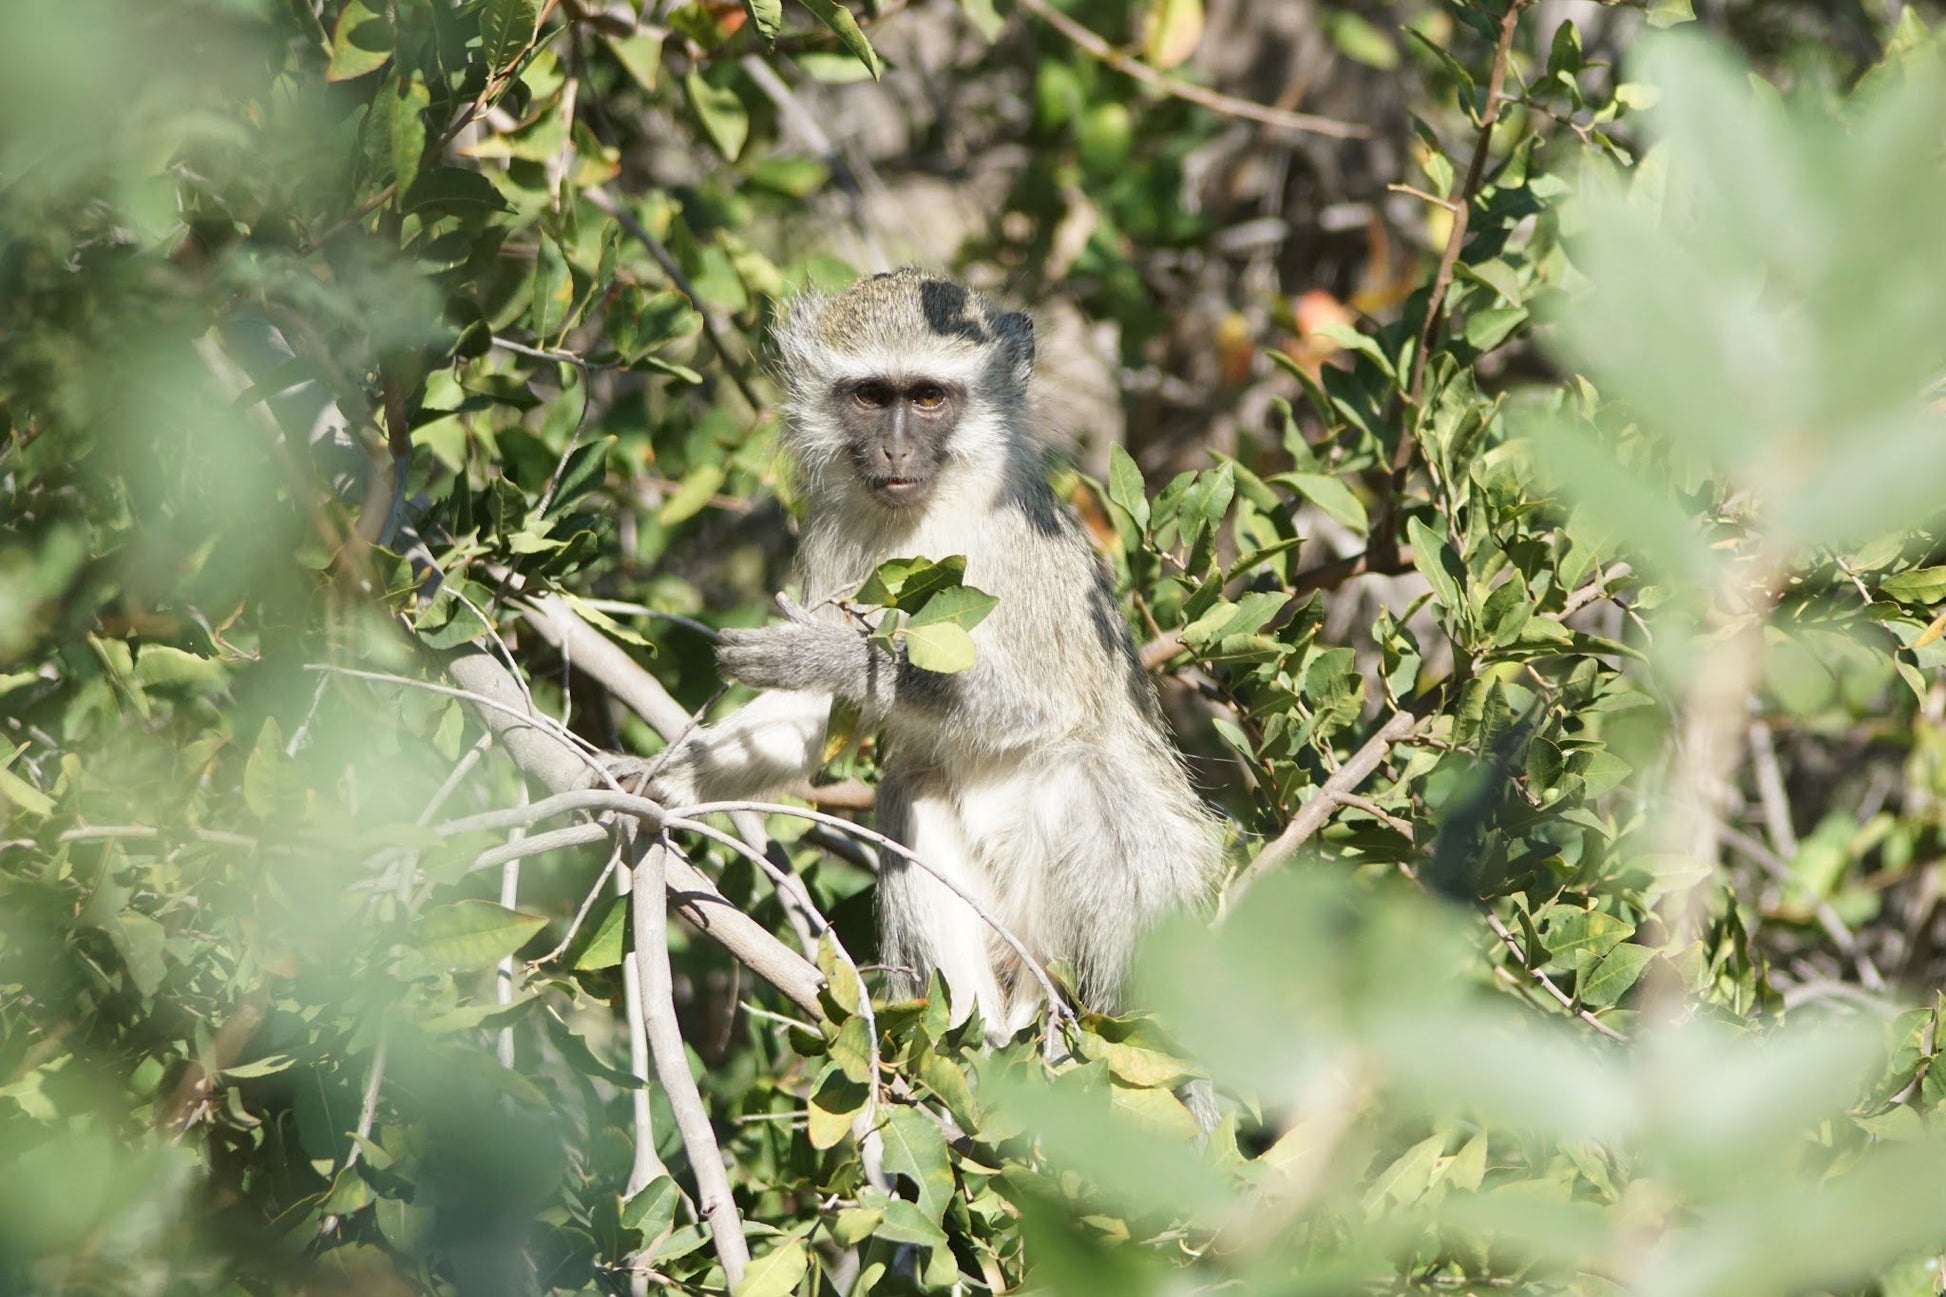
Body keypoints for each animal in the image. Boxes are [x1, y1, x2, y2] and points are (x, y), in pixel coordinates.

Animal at [646, 272, 1214, 1043]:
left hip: (1145, 910)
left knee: (1081, 770)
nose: (893, 452)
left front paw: (834, 656)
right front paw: (668, 781)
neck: (930, 514)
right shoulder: (834, 532)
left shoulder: (1021, 548)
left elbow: (1040, 704)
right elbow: (812, 719)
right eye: (869, 396)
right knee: (909, 786)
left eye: (927, 398)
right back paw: (977, 1034)